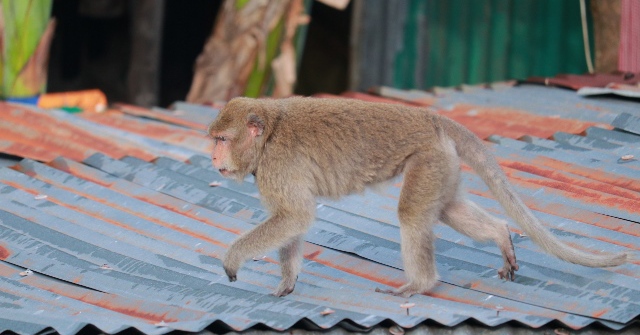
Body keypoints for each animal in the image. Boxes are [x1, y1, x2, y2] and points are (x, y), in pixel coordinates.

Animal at [208, 96, 628, 298]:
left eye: (222, 140)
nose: (212, 158)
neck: (269, 133)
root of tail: (434, 119)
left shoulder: (277, 166)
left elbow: (295, 216)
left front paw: (233, 258)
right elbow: (293, 222)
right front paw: (288, 282)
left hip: (428, 158)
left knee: (412, 213)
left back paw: (420, 285)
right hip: (443, 163)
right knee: (446, 209)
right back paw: (500, 235)